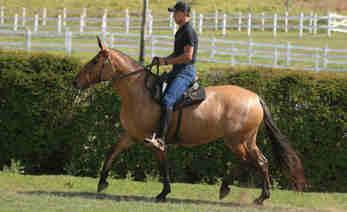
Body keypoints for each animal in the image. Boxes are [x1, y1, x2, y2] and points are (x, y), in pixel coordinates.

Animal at [74, 36, 308, 205]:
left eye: (95, 61)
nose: (75, 81)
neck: (139, 92)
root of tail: (255, 97)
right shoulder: (131, 135)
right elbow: (112, 152)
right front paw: (102, 182)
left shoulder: (155, 141)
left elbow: (163, 166)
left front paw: (163, 193)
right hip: (246, 140)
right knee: (257, 161)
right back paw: (244, 192)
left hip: (236, 140)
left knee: (252, 161)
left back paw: (247, 193)